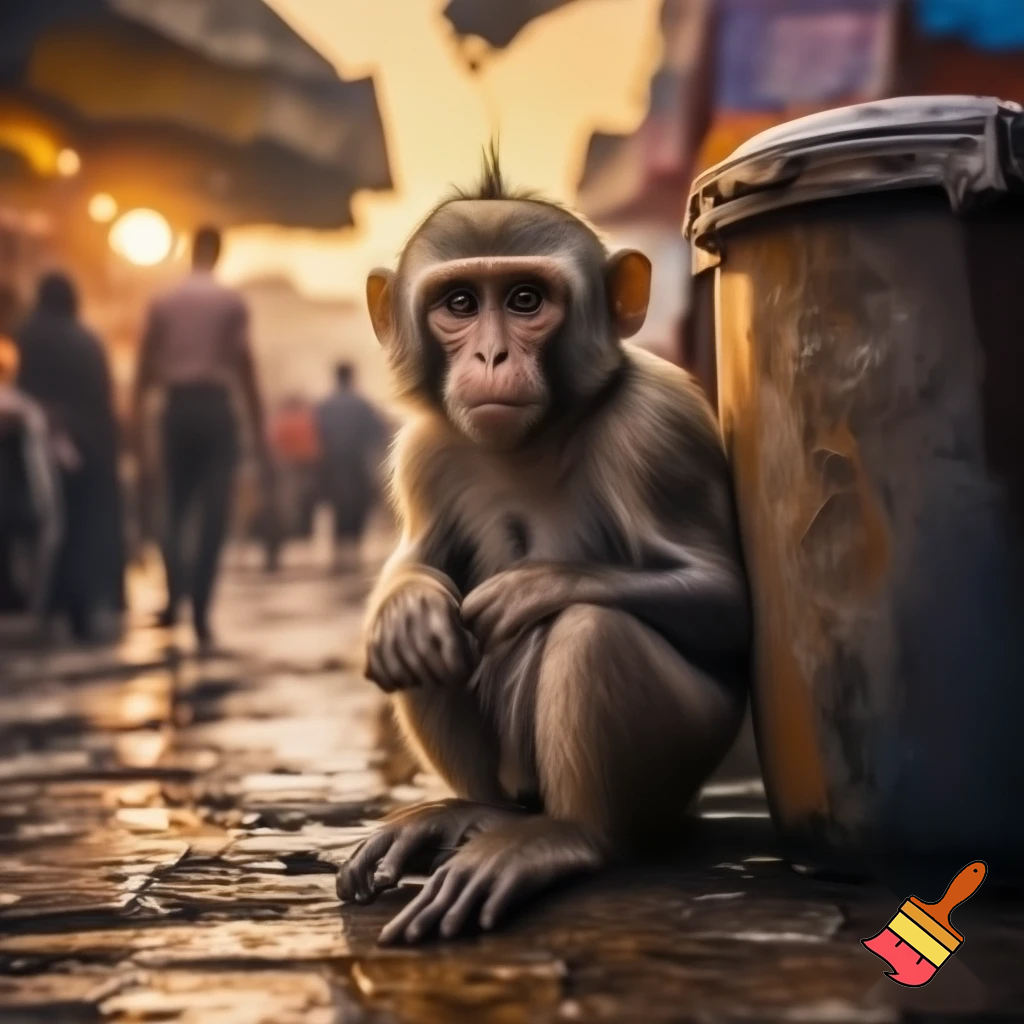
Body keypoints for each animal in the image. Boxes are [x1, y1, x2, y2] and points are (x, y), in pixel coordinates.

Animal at [336, 148, 751, 945]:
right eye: (460, 304)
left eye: (527, 299)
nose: (494, 355)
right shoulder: (425, 449)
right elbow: (418, 569)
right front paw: (409, 599)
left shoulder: (658, 424)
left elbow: (727, 597)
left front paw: (535, 586)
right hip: (513, 775)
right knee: (425, 644)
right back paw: (474, 812)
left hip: (687, 761)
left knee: (595, 630)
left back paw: (568, 837)